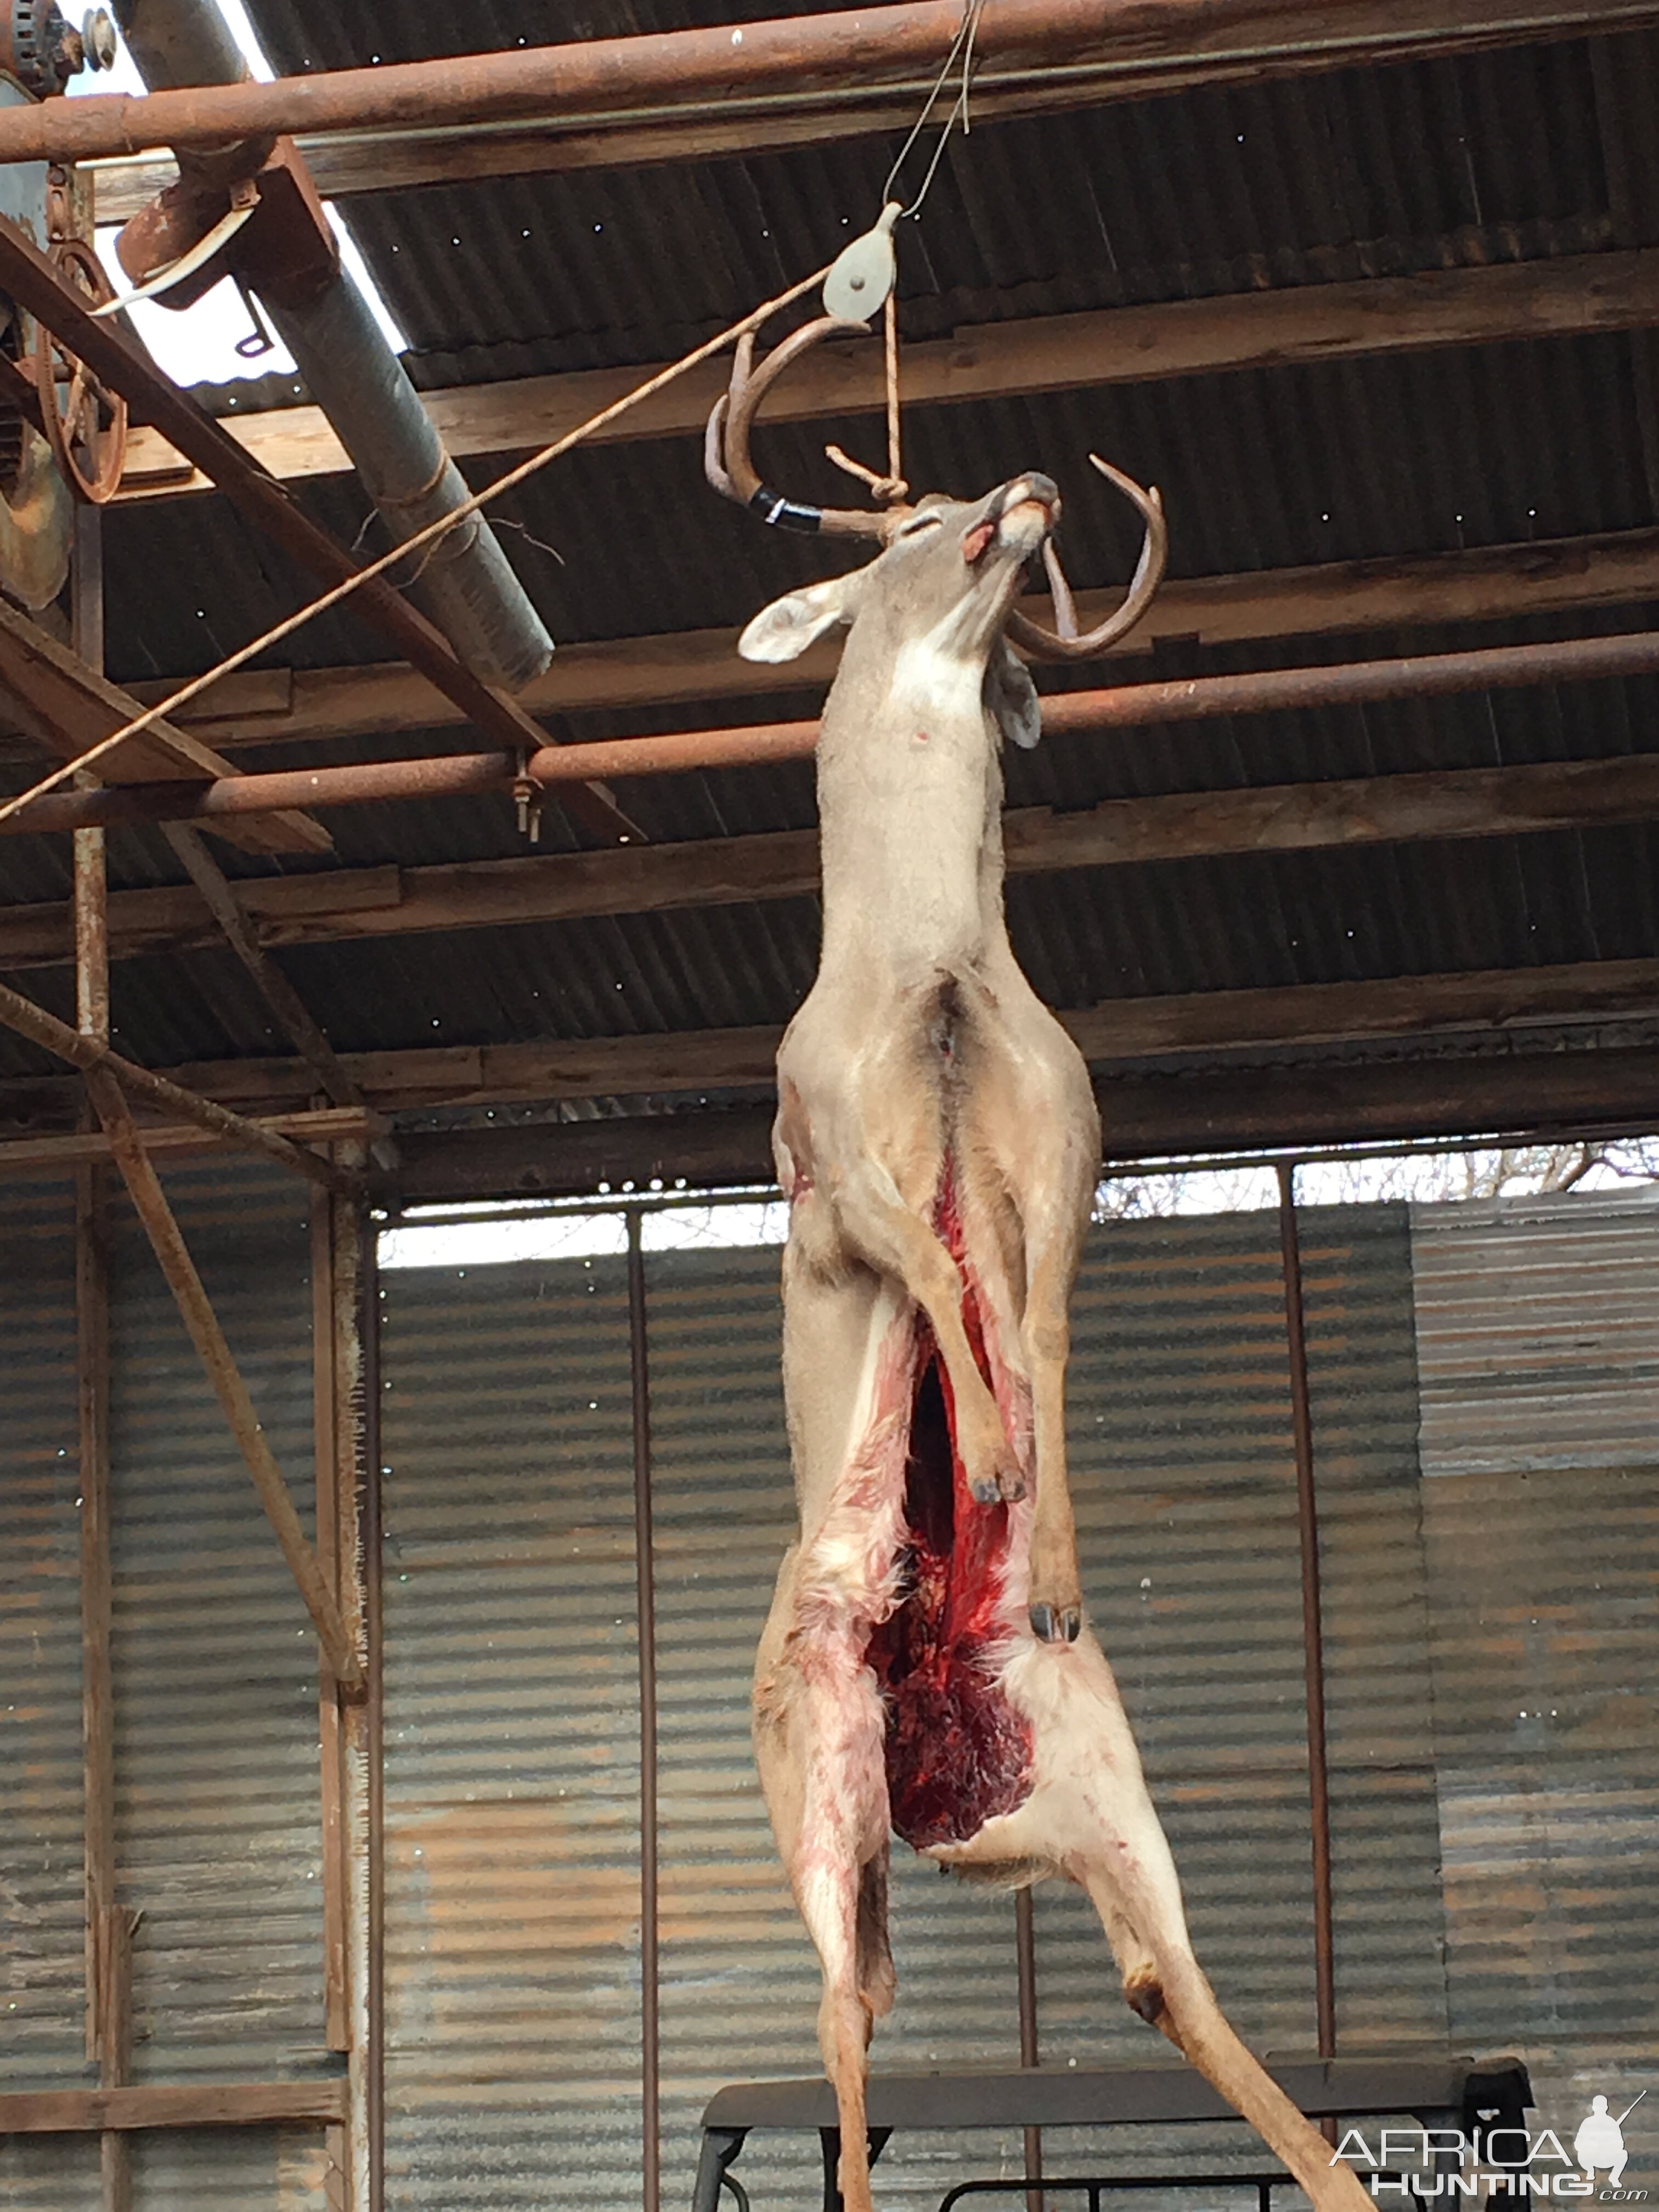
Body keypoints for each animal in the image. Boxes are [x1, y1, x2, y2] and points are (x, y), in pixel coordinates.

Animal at [716, 316, 1380, 2212]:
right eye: (907, 518)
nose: (1024, 488)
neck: (931, 971)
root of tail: (961, 1824)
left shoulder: (1077, 1137)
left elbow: (1050, 1324)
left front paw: (1051, 1534)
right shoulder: (820, 1163)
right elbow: (943, 1287)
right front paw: (995, 1463)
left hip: (1106, 1784)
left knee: (1169, 1990)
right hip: (815, 1786)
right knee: (845, 2016)